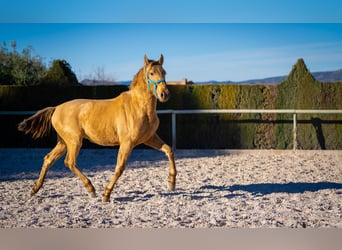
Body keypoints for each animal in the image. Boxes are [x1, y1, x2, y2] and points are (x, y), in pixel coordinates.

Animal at [18, 54, 176, 201]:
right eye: (151, 73)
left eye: (164, 72)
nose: (165, 94)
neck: (139, 107)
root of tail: (56, 108)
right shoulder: (127, 143)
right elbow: (120, 168)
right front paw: (106, 194)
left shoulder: (149, 138)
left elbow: (169, 150)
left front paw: (171, 183)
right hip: (74, 141)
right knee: (69, 162)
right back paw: (91, 189)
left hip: (64, 143)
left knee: (48, 159)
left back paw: (35, 189)